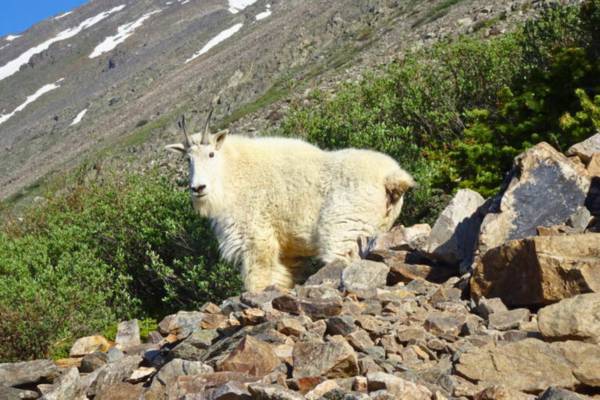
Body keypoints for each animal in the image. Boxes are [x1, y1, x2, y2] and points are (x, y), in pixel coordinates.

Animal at [166, 111, 414, 292]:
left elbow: (260, 277)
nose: (198, 188)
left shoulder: (256, 238)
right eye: (188, 159)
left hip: (346, 230)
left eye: (211, 154)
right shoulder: (288, 251)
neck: (233, 174)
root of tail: (392, 178)